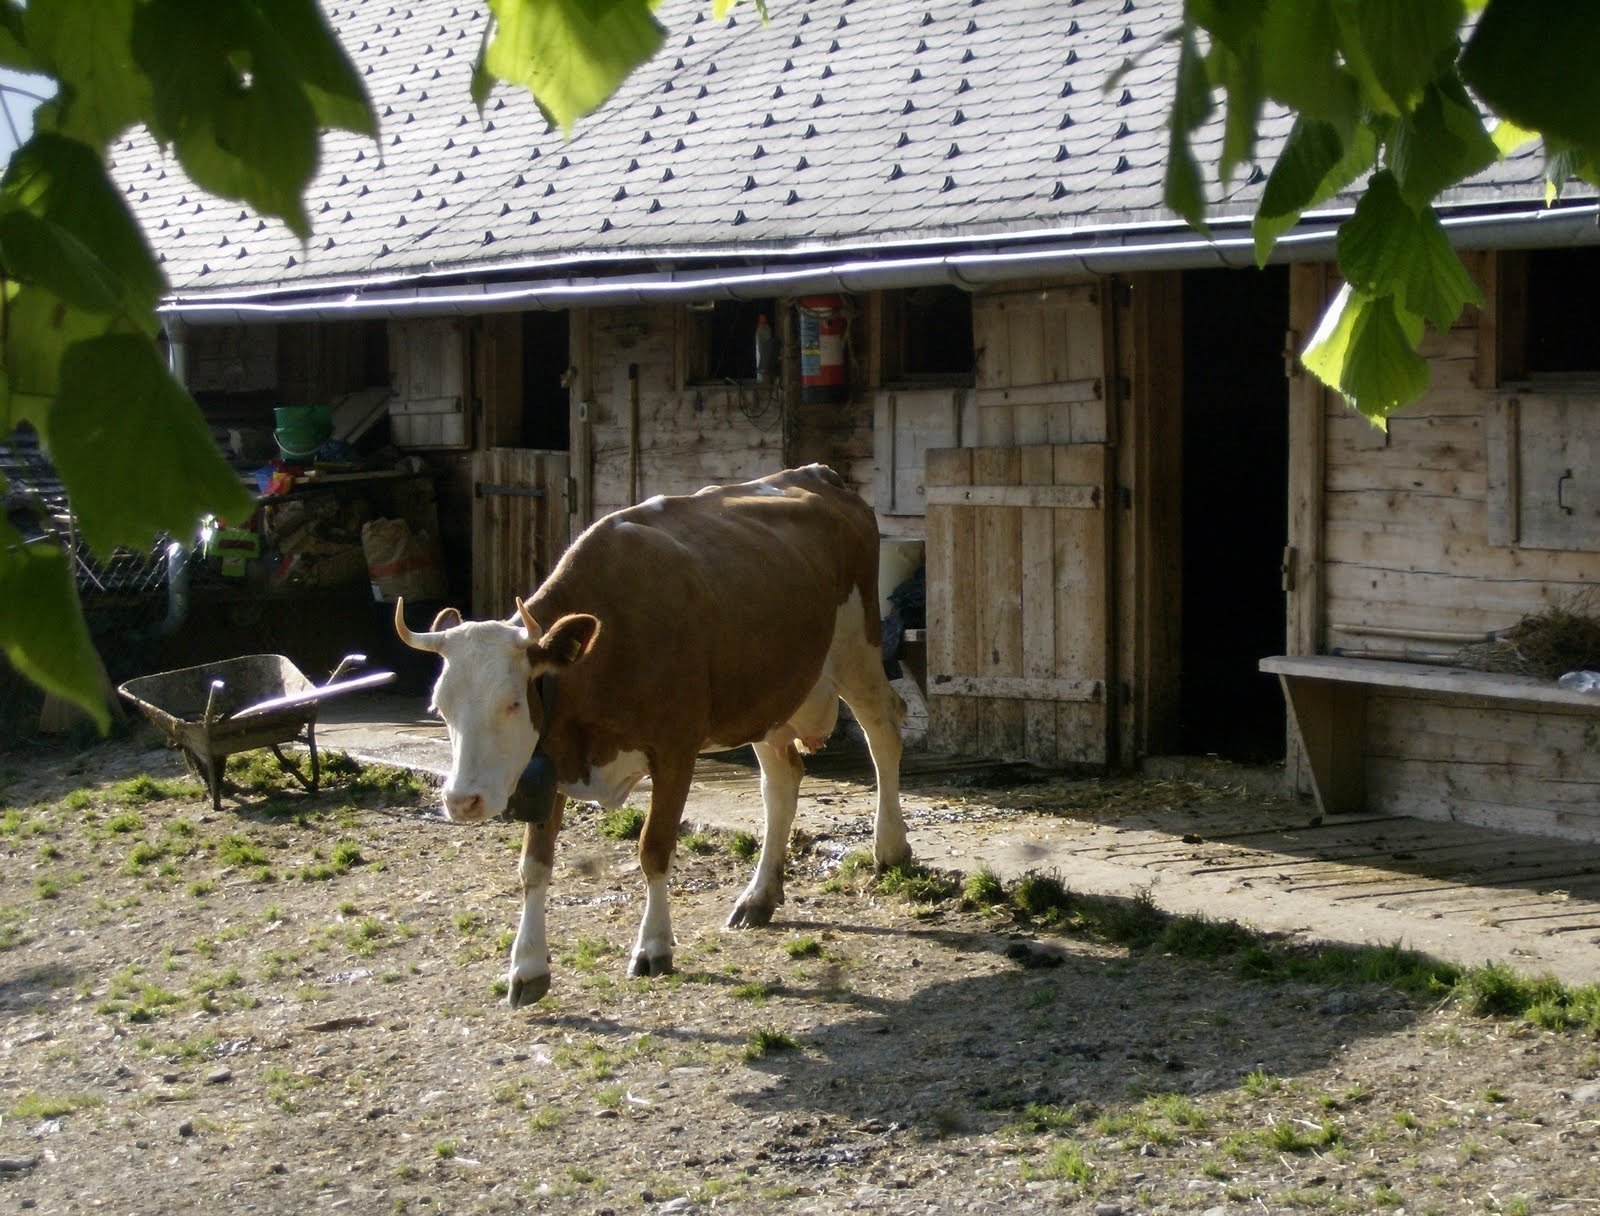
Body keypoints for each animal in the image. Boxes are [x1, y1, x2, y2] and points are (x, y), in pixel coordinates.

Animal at [394, 464, 910, 1007]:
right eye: (440, 707)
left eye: (513, 703)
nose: (461, 801)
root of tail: (817, 474)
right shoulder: (550, 758)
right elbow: (534, 864)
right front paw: (527, 967)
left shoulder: (675, 749)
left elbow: (654, 848)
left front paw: (653, 946)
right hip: (767, 694)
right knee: (782, 783)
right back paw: (759, 895)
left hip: (856, 648)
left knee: (883, 731)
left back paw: (890, 847)